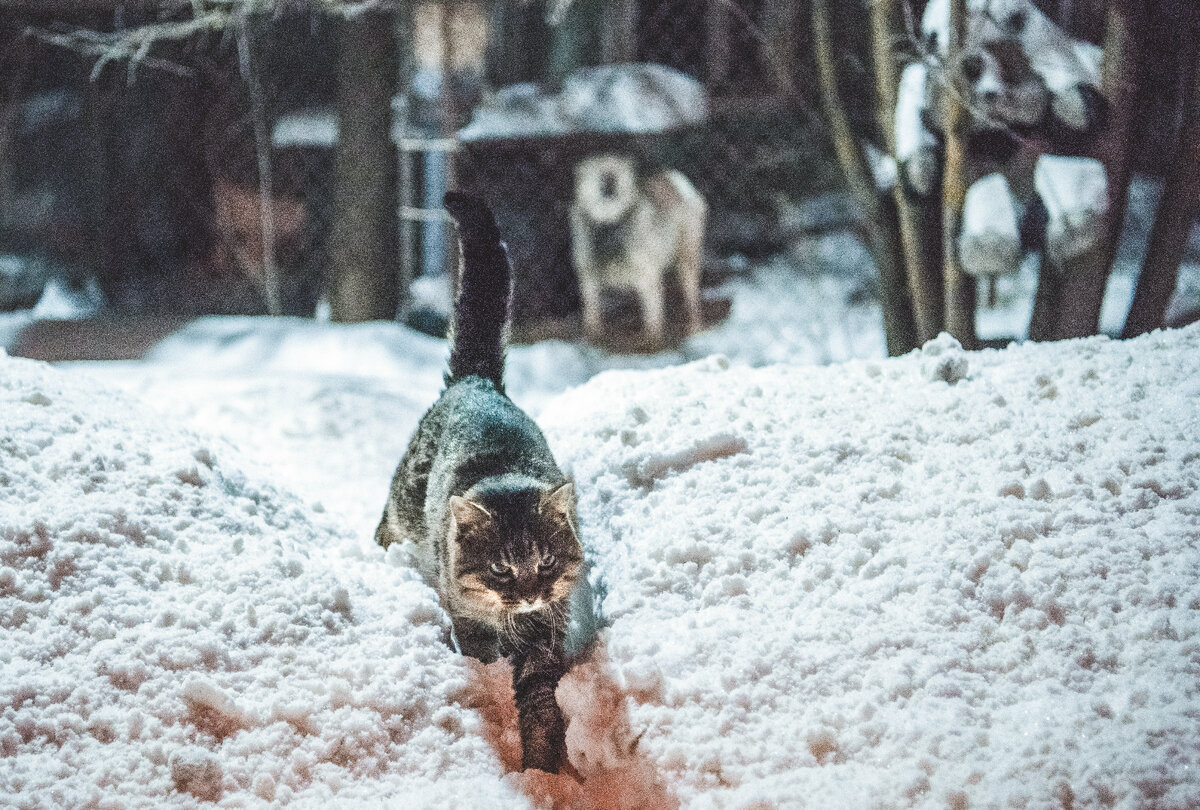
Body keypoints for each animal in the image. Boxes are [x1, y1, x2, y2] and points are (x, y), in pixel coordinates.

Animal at [372, 189, 583, 772]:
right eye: (501, 569)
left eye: (547, 563)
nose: (530, 593)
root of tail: (476, 380)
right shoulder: (471, 623)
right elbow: (482, 655)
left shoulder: (548, 630)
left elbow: (539, 696)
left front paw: (543, 761)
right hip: (403, 504)